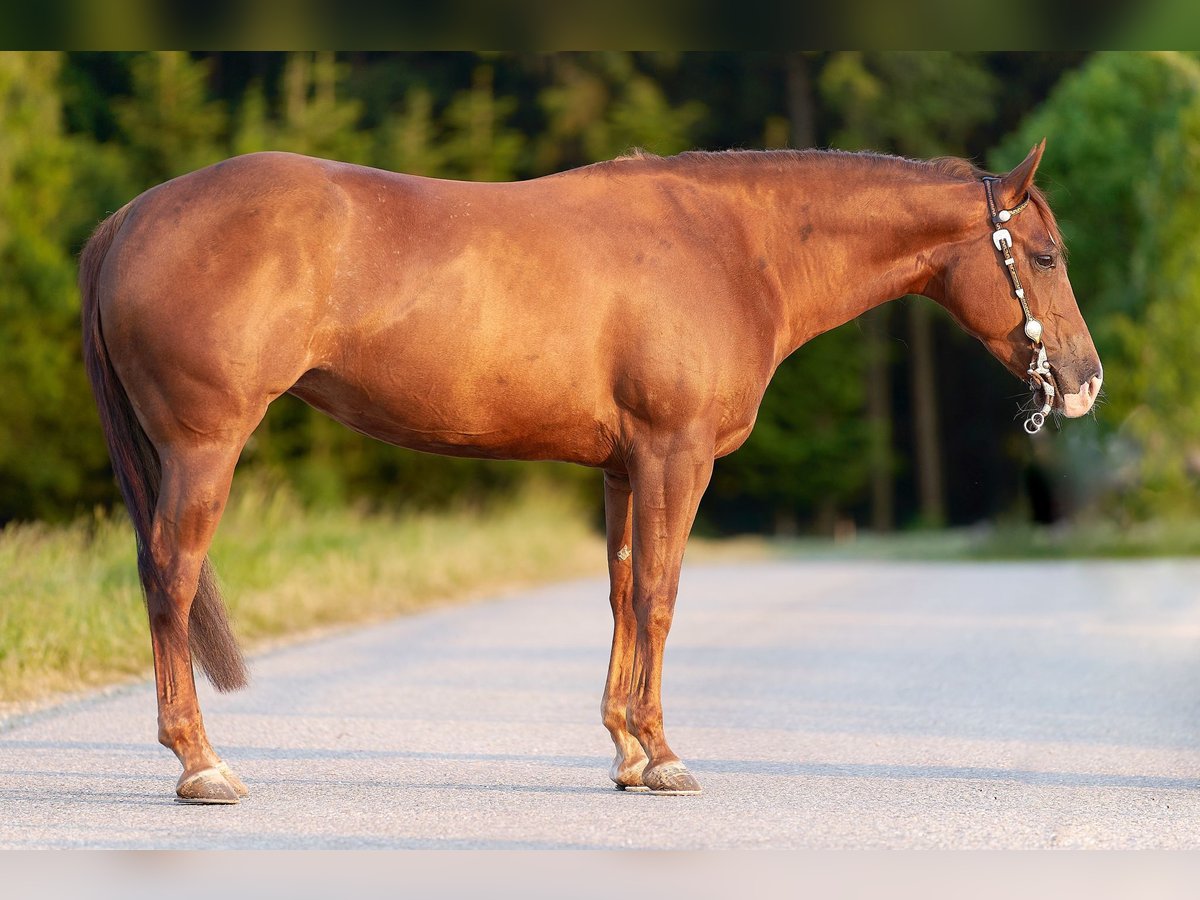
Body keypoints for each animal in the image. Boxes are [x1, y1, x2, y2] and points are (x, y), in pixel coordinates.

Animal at [79, 139, 1099, 801]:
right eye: (1045, 254)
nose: (1084, 380)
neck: (734, 246)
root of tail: (131, 217)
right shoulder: (675, 455)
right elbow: (660, 594)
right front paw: (663, 753)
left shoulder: (623, 466)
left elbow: (619, 592)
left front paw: (625, 752)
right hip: (203, 449)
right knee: (169, 580)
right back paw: (201, 764)